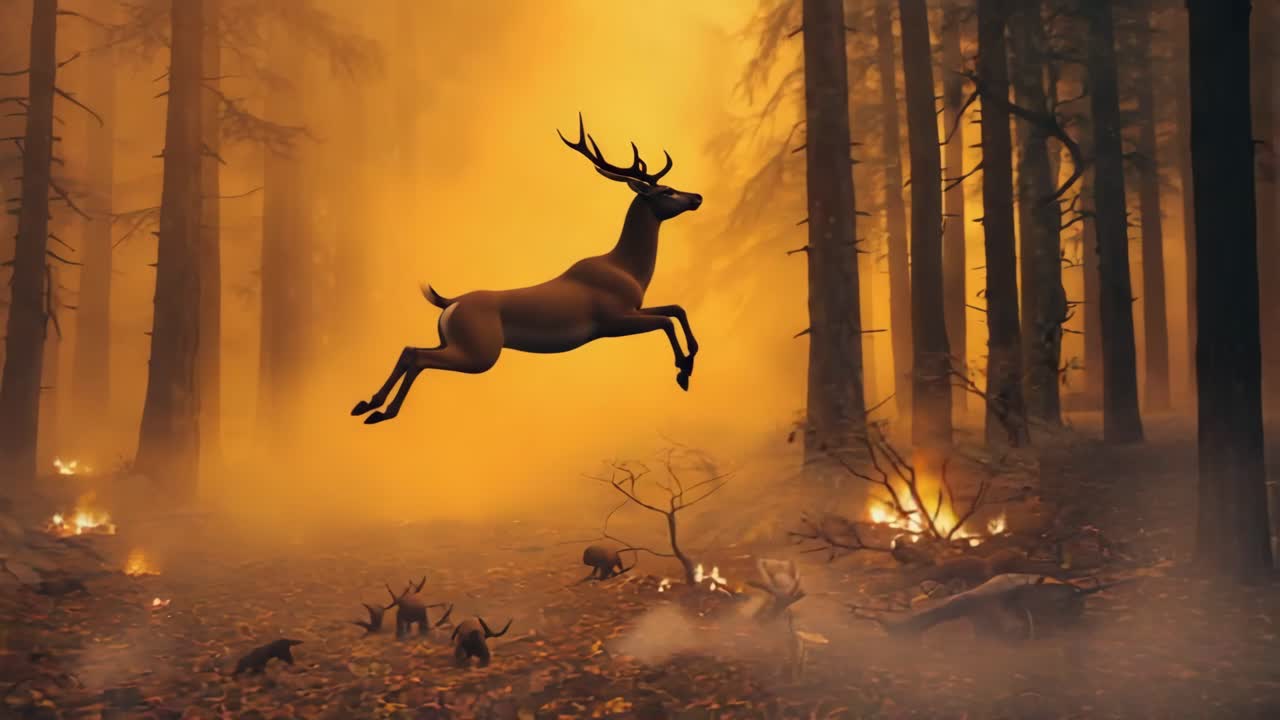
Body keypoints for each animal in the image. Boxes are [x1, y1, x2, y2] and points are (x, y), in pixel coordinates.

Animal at [351, 114, 704, 425]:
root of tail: (450, 303)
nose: (697, 196)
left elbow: (676, 308)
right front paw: (683, 371)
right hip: (480, 353)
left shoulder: (633, 309)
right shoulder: (614, 319)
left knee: (410, 349)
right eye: (666, 191)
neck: (625, 268)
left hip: (453, 343)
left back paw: (367, 406)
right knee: (419, 356)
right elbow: (666, 321)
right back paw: (381, 412)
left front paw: (690, 358)